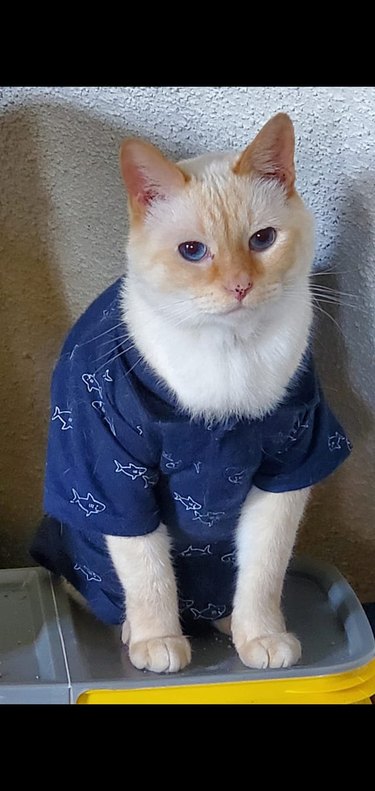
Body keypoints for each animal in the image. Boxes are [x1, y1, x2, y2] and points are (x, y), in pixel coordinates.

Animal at [31, 111, 352, 676]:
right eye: (192, 252)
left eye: (263, 240)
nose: (240, 287)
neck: (229, 355)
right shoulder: (118, 482)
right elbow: (149, 576)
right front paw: (159, 642)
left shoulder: (287, 470)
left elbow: (264, 571)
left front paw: (261, 636)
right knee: (113, 594)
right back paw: (140, 631)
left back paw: (226, 622)